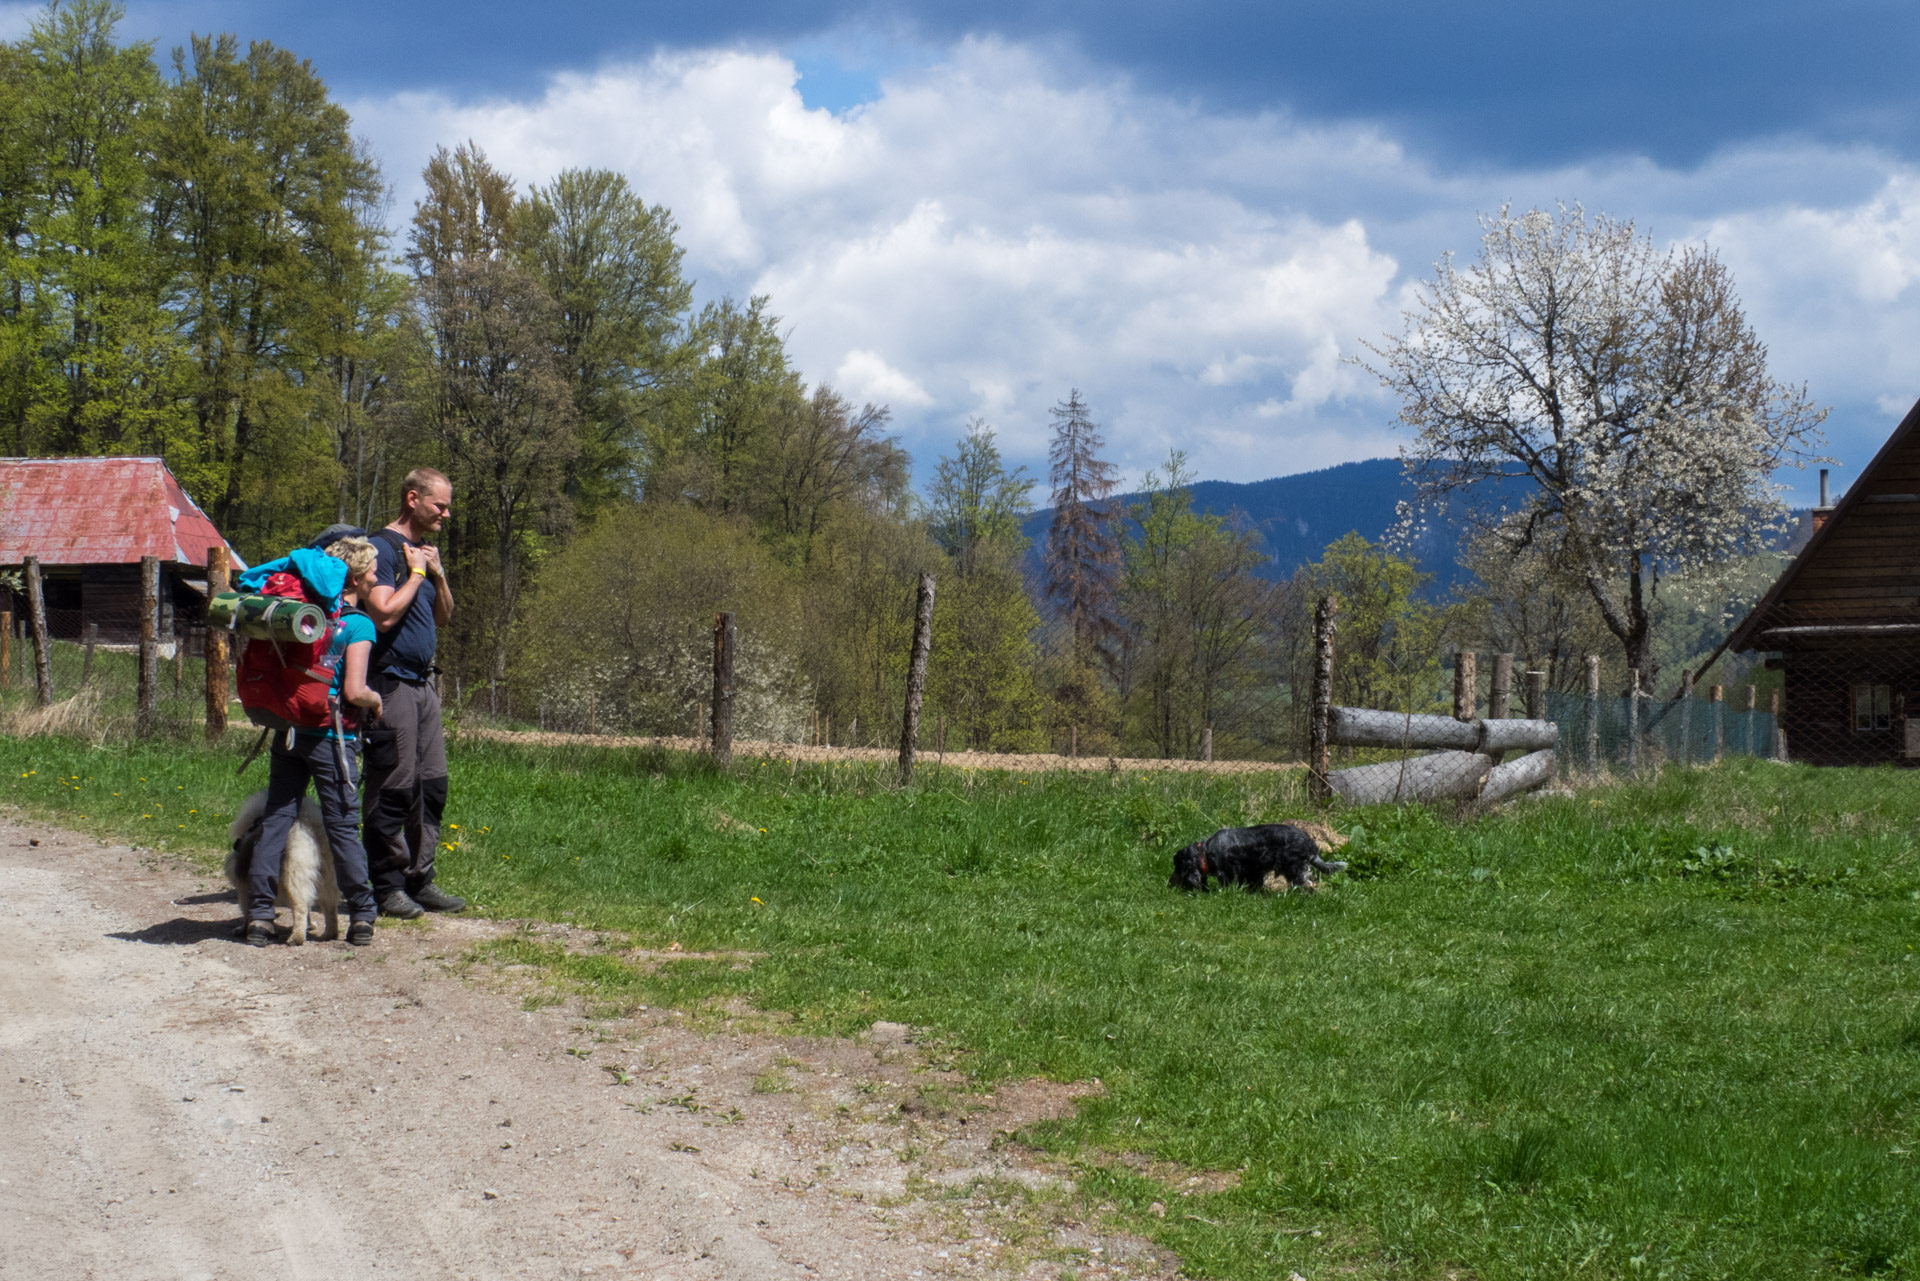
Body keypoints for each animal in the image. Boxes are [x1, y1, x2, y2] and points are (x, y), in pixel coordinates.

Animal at [226, 787, 343, 948]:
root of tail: (308, 828)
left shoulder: (245, 889)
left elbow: (247, 911)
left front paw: (244, 929)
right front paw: (310, 925)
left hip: (293, 875)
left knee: (300, 906)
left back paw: (296, 938)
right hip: (328, 877)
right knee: (330, 908)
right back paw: (329, 934)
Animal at [1167, 825, 1351, 898]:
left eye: (1177, 867)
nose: (1168, 884)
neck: (1205, 851)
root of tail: (1310, 844)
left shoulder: (1227, 872)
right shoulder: (1252, 872)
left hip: (1295, 869)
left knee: (1307, 884)